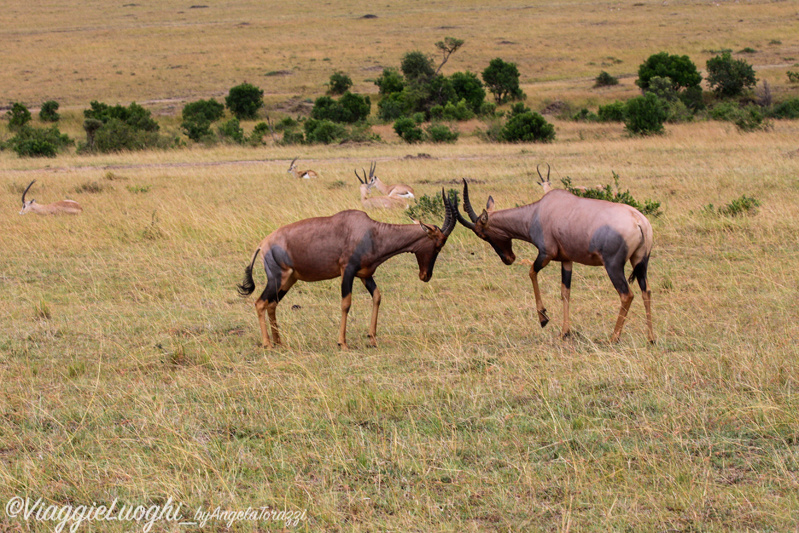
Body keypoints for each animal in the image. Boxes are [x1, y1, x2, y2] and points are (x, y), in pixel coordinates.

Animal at [238, 191, 456, 350]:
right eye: (438, 244)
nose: (425, 276)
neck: (369, 231)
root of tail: (263, 244)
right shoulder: (347, 270)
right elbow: (346, 303)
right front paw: (342, 343)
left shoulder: (365, 275)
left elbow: (377, 297)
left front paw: (372, 339)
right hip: (277, 278)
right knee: (260, 303)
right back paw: (267, 344)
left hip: (289, 280)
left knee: (272, 304)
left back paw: (279, 342)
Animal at [456, 172, 656, 342]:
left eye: (482, 234)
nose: (508, 259)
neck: (539, 210)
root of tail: (639, 221)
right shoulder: (566, 260)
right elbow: (565, 292)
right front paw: (564, 332)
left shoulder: (546, 254)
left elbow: (531, 272)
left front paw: (543, 318)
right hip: (641, 262)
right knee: (646, 291)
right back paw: (651, 338)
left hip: (613, 265)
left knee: (627, 295)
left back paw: (613, 338)